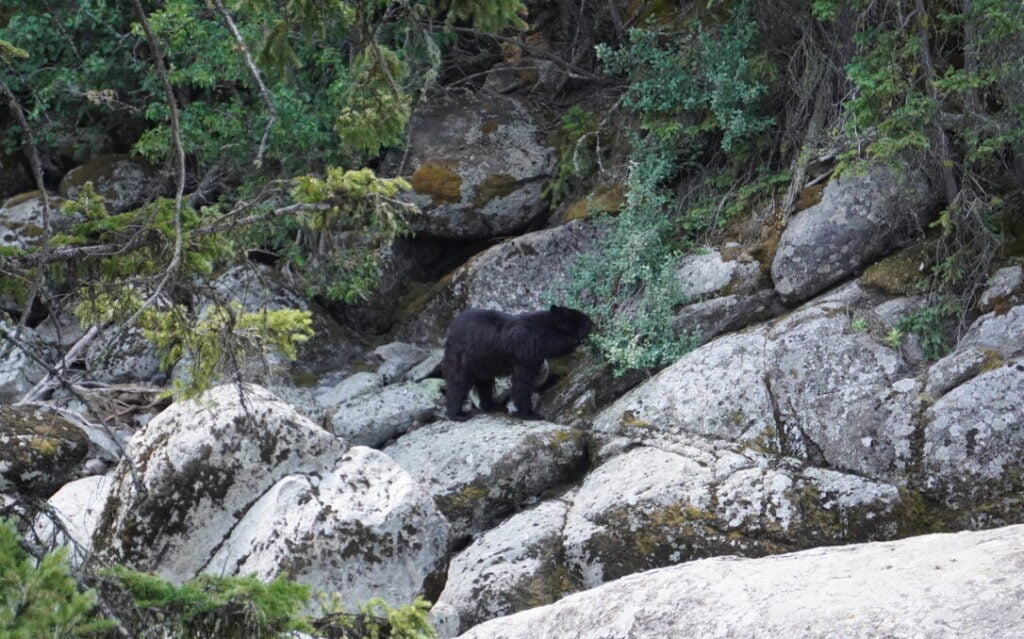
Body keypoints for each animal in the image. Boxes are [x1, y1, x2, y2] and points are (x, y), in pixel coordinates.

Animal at [442, 305, 593, 421]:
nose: (593, 322)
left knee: (484, 384)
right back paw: (457, 414)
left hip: (483, 364)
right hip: (462, 358)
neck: (542, 334)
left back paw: (493, 406)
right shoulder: (525, 354)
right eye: (587, 322)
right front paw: (530, 414)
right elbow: (522, 384)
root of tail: (450, 331)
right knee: (458, 383)